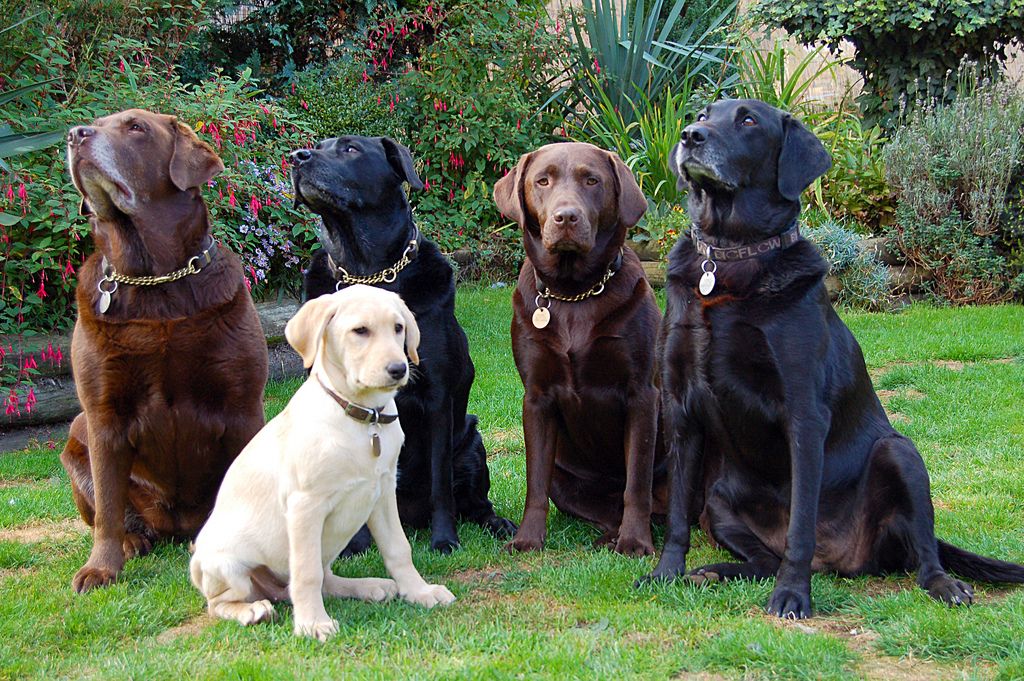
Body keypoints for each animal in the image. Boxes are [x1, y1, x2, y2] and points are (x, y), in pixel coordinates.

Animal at [59, 107, 268, 589]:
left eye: (136, 128)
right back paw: (133, 541)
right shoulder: (102, 415)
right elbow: (109, 505)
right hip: (76, 437)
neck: (155, 282)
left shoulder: (243, 404)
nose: (76, 135)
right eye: (95, 122)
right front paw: (100, 568)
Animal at [192, 280, 456, 639]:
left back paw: (368, 587)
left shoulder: (383, 491)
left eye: (398, 328)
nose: (399, 369)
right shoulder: (305, 505)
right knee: (220, 601)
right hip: (228, 565)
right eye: (360, 331)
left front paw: (419, 592)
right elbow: (306, 573)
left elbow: (399, 548)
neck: (364, 419)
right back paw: (252, 610)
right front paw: (312, 623)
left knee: (324, 579)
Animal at [493, 142, 667, 552]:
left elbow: (637, 482)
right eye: (542, 181)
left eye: (592, 180)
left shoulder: (642, 393)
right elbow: (535, 483)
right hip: (564, 476)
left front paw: (635, 542)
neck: (574, 293)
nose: (566, 217)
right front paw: (527, 539)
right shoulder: (536, 397)